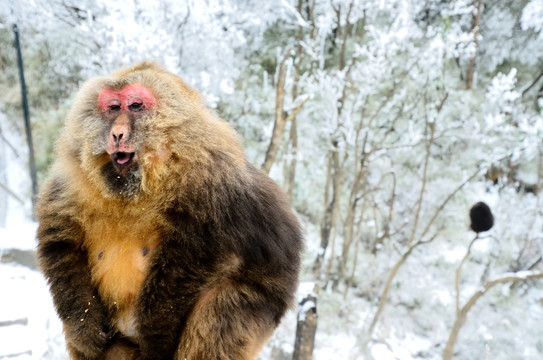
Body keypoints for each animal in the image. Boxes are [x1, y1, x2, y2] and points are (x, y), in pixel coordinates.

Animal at [36, 62, 304, 360]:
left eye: (136, 106)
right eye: (114, 107)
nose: (117, 133)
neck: (141, 183)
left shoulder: (213, 179)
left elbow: (194, 256)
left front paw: (157, 334)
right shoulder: (68, 183)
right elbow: (60, 244)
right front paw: (84, 326)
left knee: (219, 312)